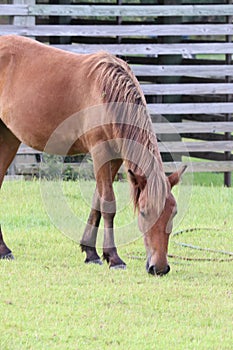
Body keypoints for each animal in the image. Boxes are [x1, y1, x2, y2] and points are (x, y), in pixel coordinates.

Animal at [0, 35, 186, 276]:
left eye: (173, 213)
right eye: (144, 213)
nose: (160, 268)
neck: (108, 94)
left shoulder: (115, 157)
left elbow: (97, 201)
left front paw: (91, 252)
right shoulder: (100, 152)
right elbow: (108, 203)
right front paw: (114, 258)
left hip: (9, 137)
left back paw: (3, 249)